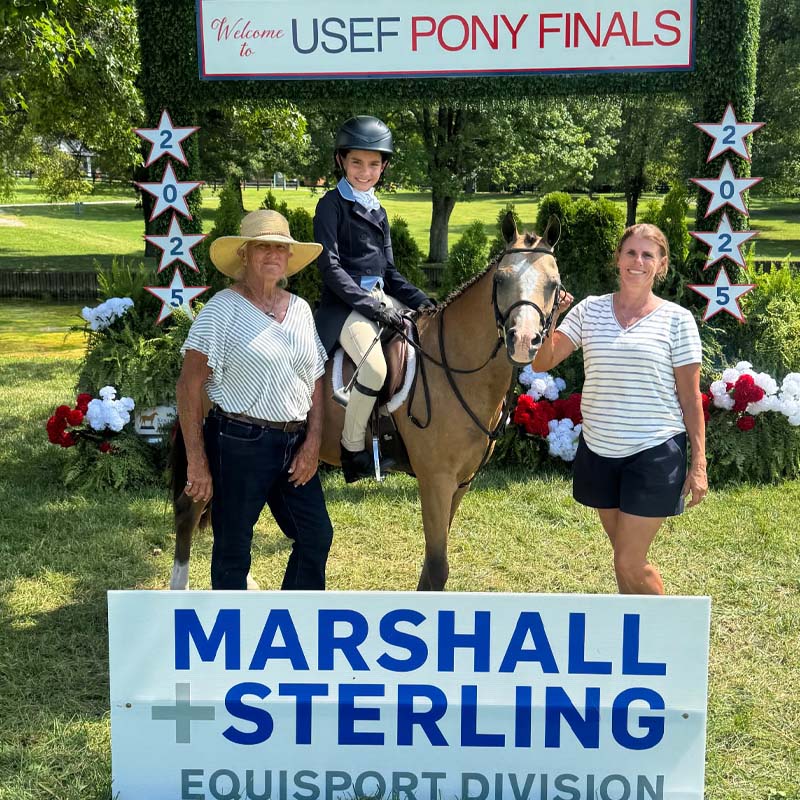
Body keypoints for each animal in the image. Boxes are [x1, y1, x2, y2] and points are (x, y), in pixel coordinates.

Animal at [169, 212, 562, 591]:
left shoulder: (460, 484)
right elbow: (438, 569)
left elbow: (432, 565)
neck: (453, 366)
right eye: (501, 280)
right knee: (190, 512)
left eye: (554, 285)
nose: (523, 341)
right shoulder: (435, 480)